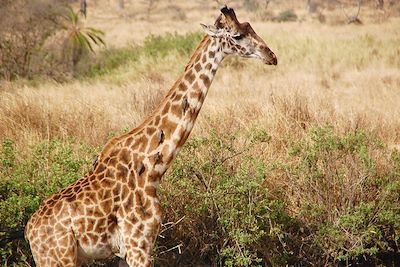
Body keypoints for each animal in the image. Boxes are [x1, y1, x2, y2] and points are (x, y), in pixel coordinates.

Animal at [24, 6, 276, 267]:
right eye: (237, 36)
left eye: (250, 27)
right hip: (59, 258)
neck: (153, 167)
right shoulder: (139, 244)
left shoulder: (130, 250)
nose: (271, 56)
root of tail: (29, 232)